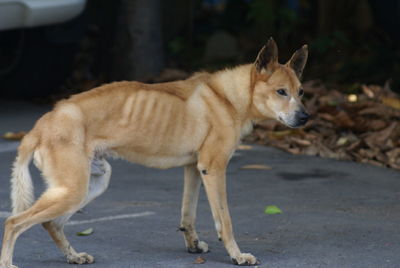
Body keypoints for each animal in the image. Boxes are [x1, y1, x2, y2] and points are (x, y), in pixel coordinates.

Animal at [0, 38, 310, 268]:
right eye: (281, 92)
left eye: (301, 92)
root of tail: (41, 124)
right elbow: (225, 221)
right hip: (72, 190)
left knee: (50, 224)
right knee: (14, 222)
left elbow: (188, 215)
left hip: (90, 184)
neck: (228, 98)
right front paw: (237, 255)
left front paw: (193, 245)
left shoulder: (194, 169)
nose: (305, 118)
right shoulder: (214, 168)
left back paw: (74, 256)